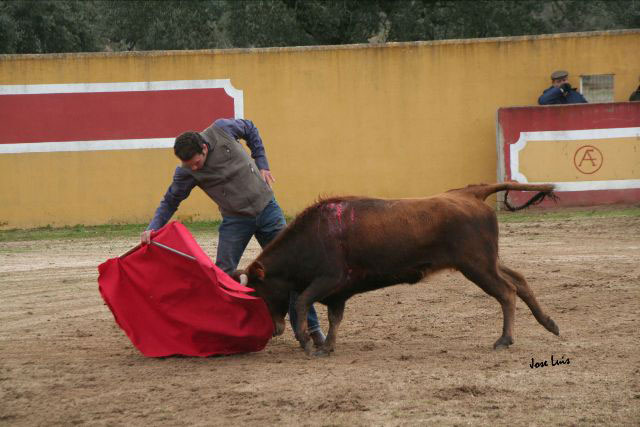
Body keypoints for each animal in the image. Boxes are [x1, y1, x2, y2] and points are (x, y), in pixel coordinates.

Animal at [236, 184, 560, 358]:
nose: (274, 330)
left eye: (259, 293)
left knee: (506, 291)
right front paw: (327, 347)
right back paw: (549, 324)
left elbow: (303, 301)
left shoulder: (329, 279)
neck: (312, 237)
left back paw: (504, 340)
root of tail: (470, 194)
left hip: (477, 265)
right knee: (519, 280)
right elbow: (335, 319)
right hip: (486, 261)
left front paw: (306, 343)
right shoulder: (338, 293)